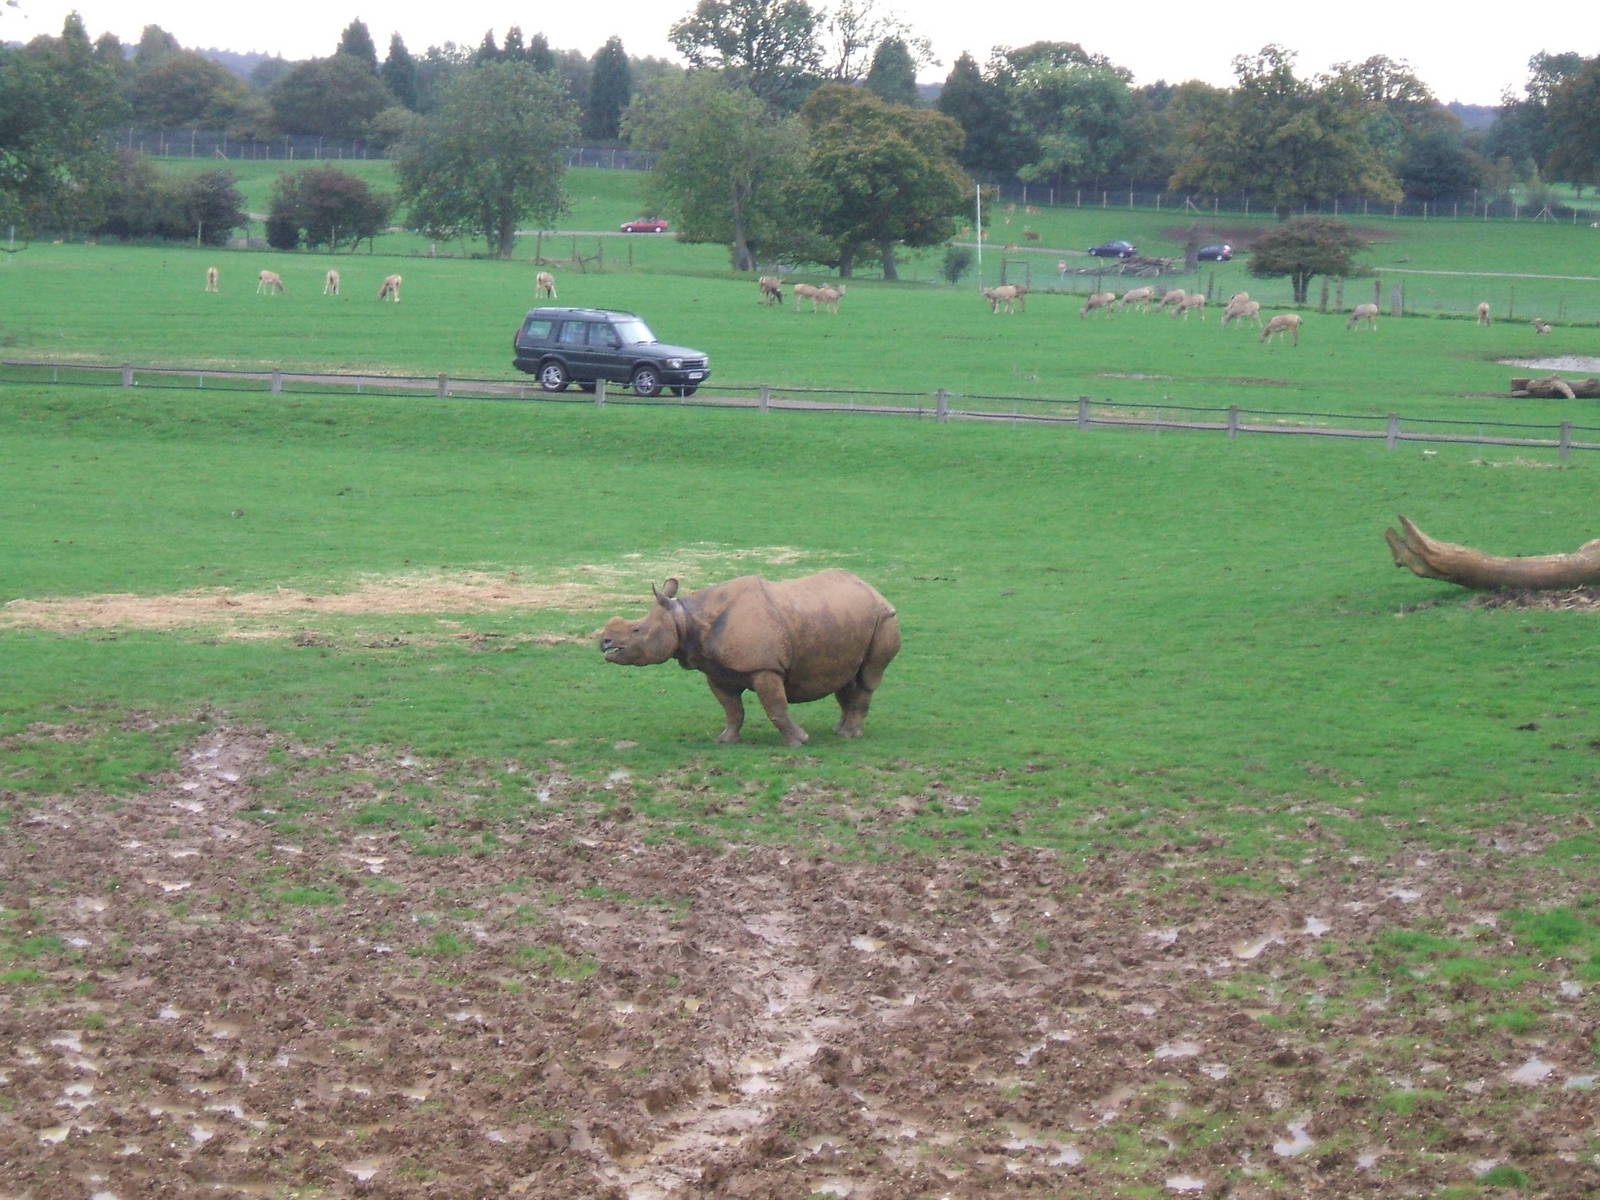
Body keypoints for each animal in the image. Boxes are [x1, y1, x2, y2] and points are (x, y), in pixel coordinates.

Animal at [598, 569, 901, 746]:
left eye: (637, 630)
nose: (604, 641)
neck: (684, 619)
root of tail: (875, 591)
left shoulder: (765, 668)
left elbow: (775, 707)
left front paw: (798, 742)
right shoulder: (716, 671)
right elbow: (732, 708)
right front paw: (726, 740)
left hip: (885, 618)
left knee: (868, 677)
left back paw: (850, 735)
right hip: (845, 618)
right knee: (847, 676)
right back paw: (840, 730)